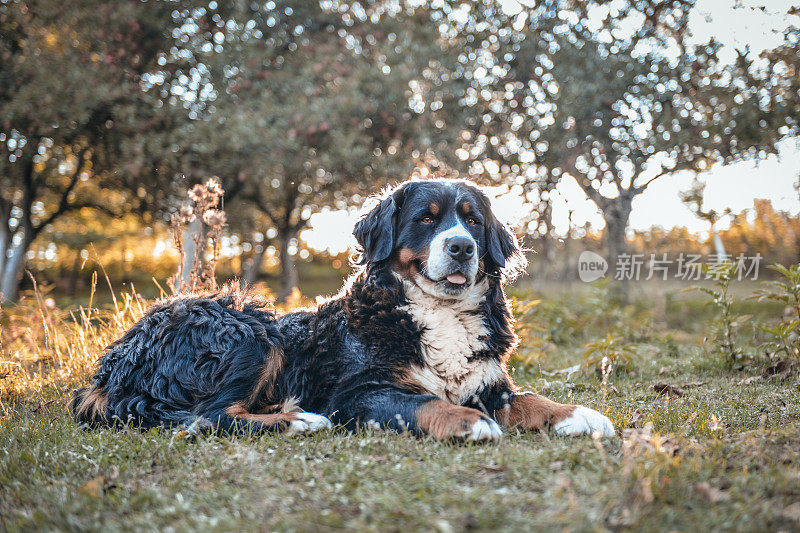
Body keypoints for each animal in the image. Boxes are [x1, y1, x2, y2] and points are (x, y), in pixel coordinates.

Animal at [73, 179, 612, 440]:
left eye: (473, 221)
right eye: (427, 220)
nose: (461, 247)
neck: (436, 313)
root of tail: (112, 362)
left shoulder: (488, 384)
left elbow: (532, 400)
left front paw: (579, 416)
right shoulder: (360, 393)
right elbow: (425, 403)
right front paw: (467, 422)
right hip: (249, 330)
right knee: (206, 417)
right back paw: (298, 420)